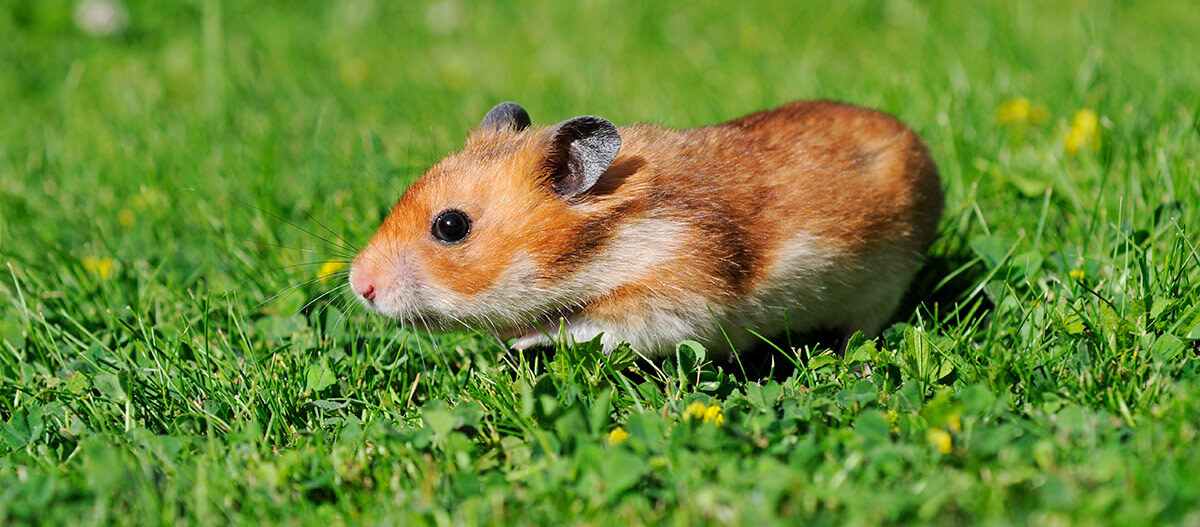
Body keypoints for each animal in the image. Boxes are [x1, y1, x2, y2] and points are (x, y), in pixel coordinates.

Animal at [350, 100, 940, 357]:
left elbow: (583, 325)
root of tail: (920, 149)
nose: (359, 285)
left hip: (884, 283)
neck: (605, 244)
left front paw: (518, 339)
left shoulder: (674, 298)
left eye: (451, 226)